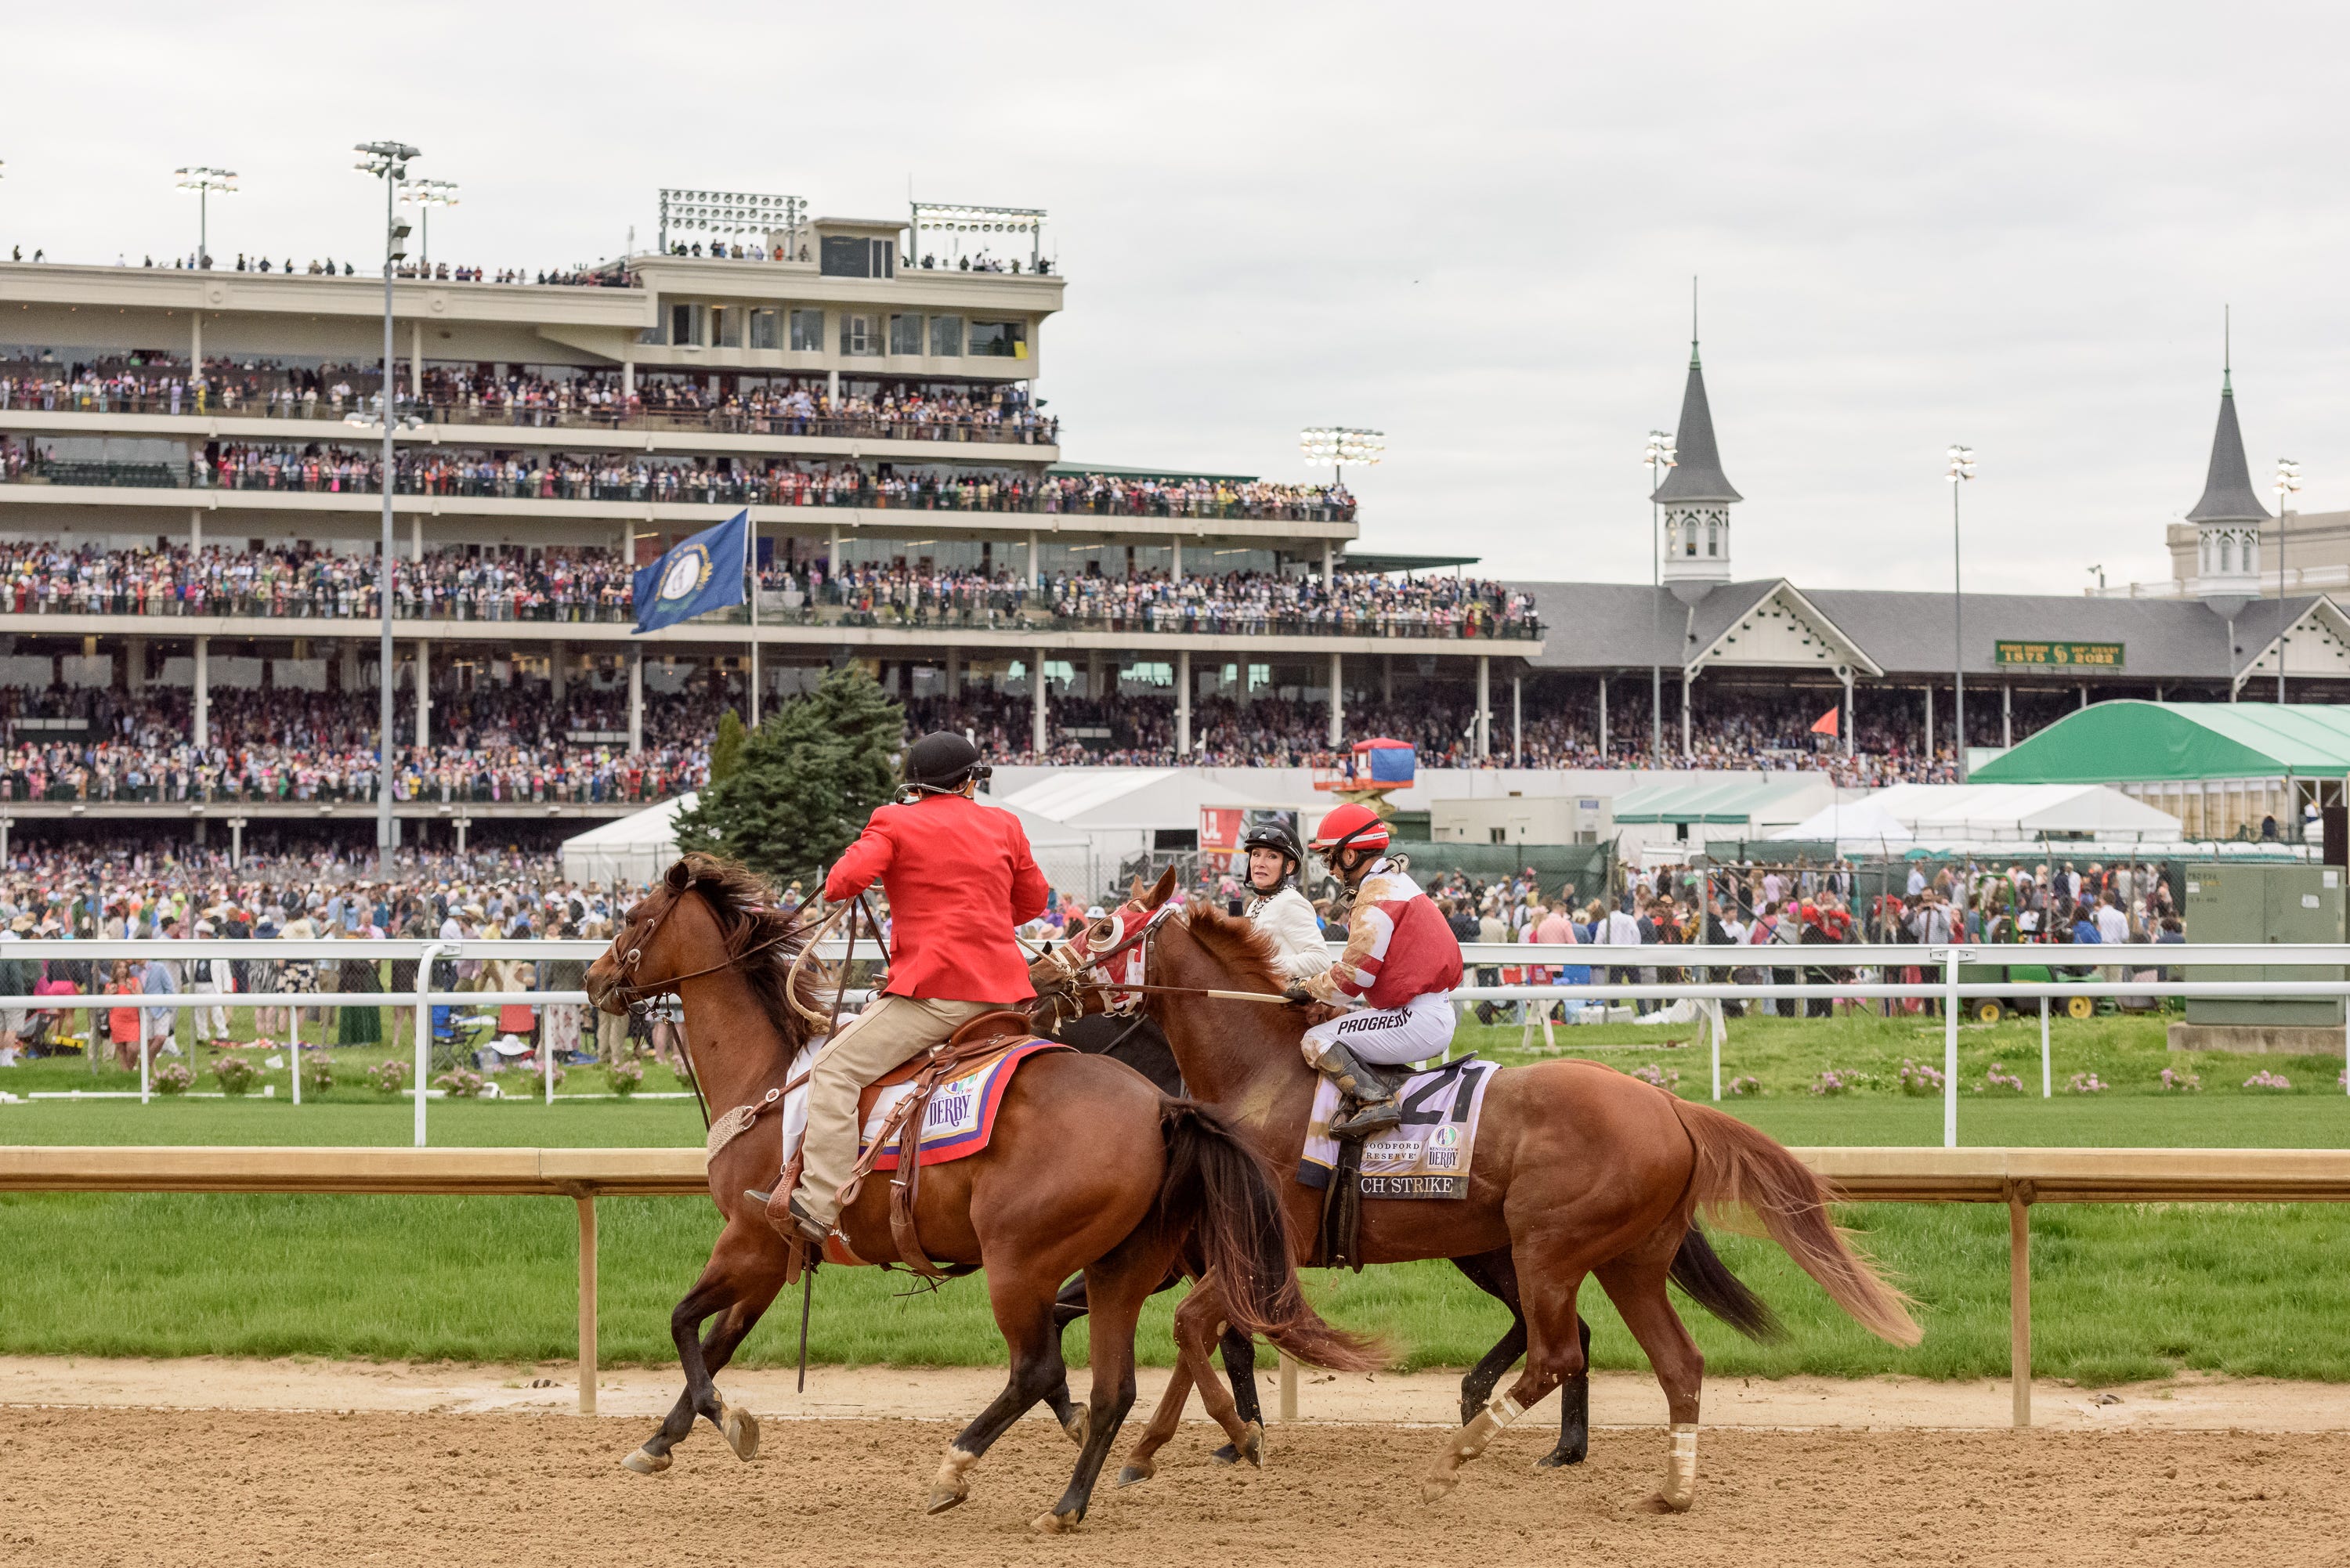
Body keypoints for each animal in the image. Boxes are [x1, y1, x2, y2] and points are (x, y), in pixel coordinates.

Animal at [576, 860, 1372, 1532]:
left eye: (637, 916)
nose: (593, 978)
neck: (771, 1082)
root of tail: (1162, 1107)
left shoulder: (749, 1241)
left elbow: (685, 1325)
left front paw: (725, 1418)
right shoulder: (776, 1259)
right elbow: (717, 1339)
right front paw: (661, 1440)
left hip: (1019, 1261)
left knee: (1039, 1366)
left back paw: (957, 1468)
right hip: (1122, 1267)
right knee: (1115, 1385)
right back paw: (1069, 1504)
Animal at [1039, 883, 1918, 1504]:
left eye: (1102, 927)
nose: (1041, 976)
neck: (1262, 1077)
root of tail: (1669, 1104)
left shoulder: (1262, 1243)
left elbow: (1195, 1330)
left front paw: (1236, 1435)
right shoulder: (1217, 1250)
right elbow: (1197, 1338)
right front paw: (1150, 1449)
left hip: (1547, 1246)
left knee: (1559, 1352)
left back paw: (1455, 1457)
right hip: (1624, 1258)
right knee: (1675, 1361)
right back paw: (1668, 1488)